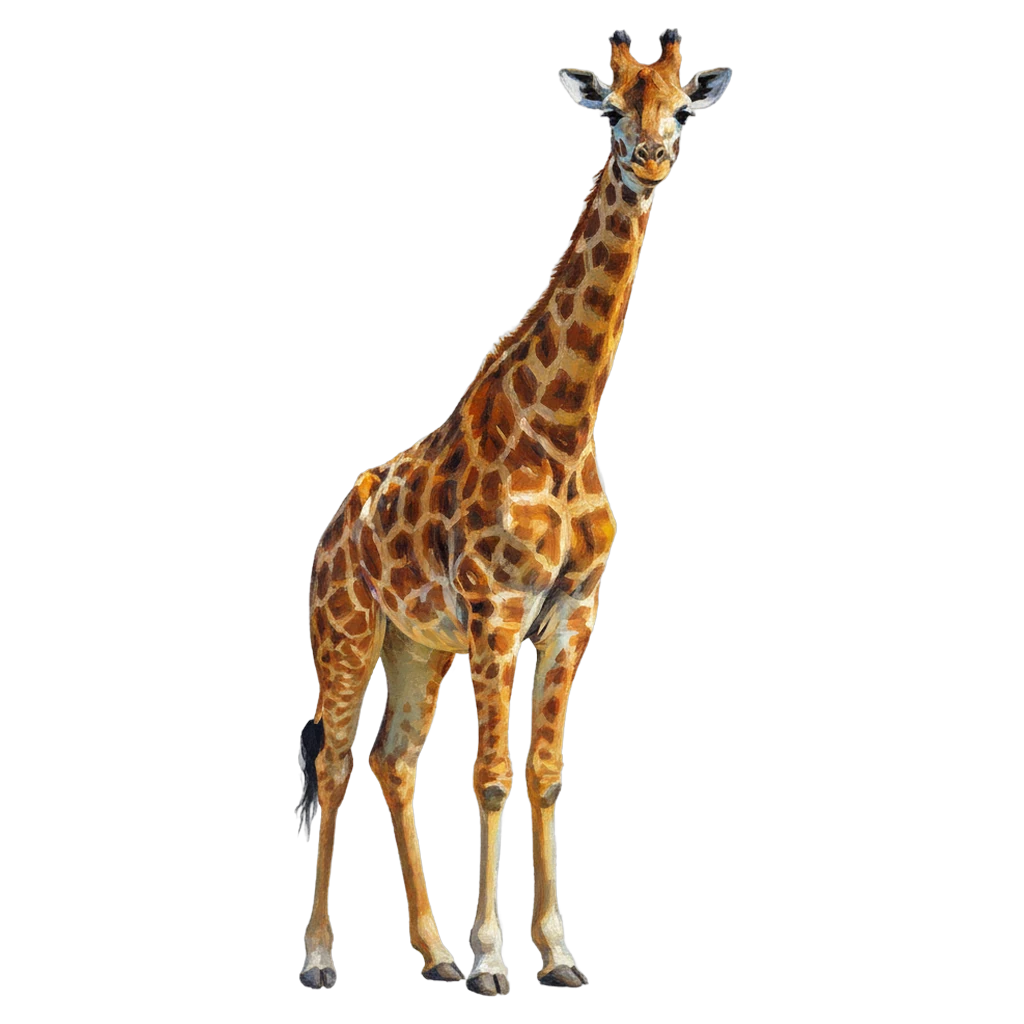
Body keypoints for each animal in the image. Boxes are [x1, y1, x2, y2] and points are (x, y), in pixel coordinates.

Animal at [297, 28, 732, 994]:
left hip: (416, 644)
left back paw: (432, 954)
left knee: (392, 761)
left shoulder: (572, 612)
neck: (564, 425)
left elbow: (543, 773)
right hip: (346, 632)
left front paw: (558, 957)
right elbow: (493, 776)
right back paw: (320, 959)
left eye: (682, 108)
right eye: (612, 107)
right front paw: (496, 961)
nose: (651, 157)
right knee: (334, 762)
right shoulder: (498, 612)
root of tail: (332, 531)